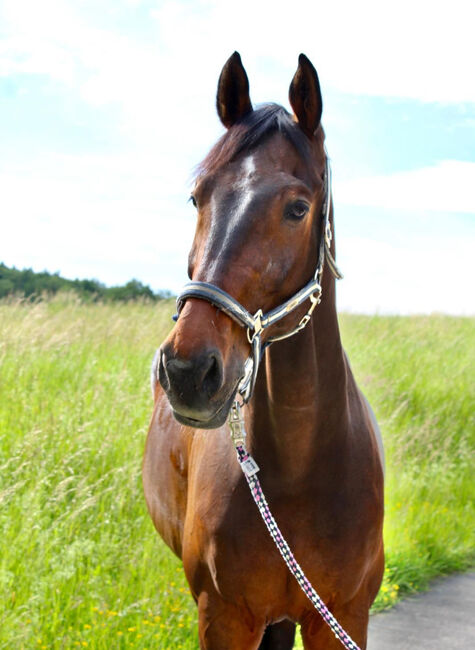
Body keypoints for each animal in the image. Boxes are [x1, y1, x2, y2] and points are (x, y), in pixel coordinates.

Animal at [143, 52, 384, 648]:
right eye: (197, 196)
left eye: (298, 208)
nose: (188, 370)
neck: (299, 472)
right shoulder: (225, 618)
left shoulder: (342, 618)